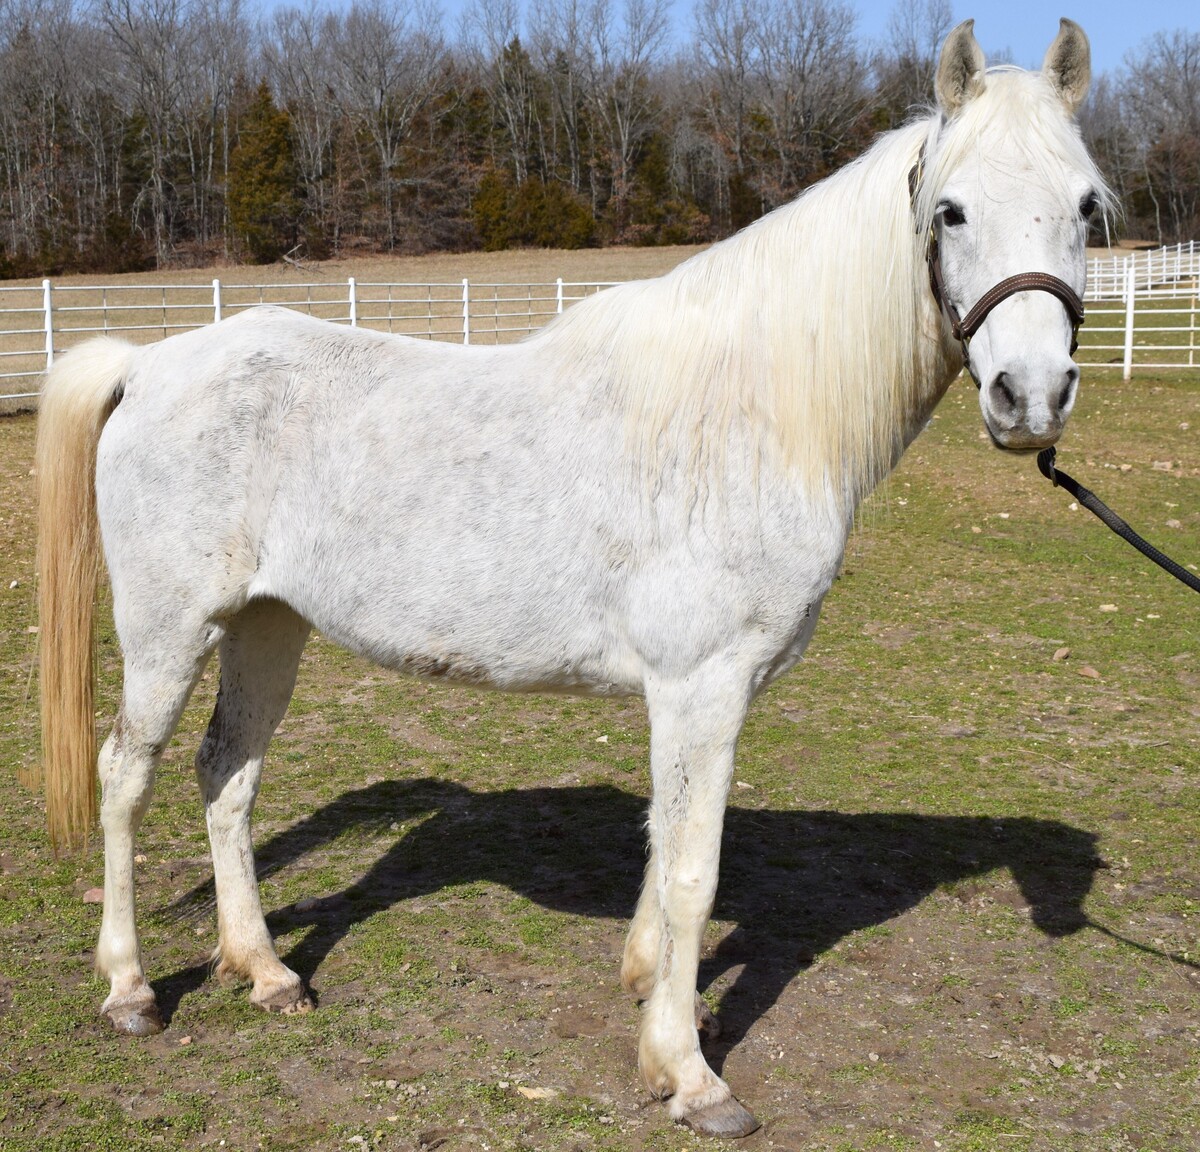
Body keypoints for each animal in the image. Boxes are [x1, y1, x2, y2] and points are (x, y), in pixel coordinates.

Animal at [34, 19, 1109, 1138]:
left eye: (1086, 207)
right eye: (951, 209)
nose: (1031, 397)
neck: (748, 411)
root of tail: (148, 366)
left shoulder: (696, 696)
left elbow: (664, 849)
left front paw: (647, 988)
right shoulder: (701, 684)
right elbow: (692, 872)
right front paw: (690, 1074)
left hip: (266, 627)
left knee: (227, 776)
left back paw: (265, 971)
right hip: (168, 631)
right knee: (126, 777)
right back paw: (130, 990)